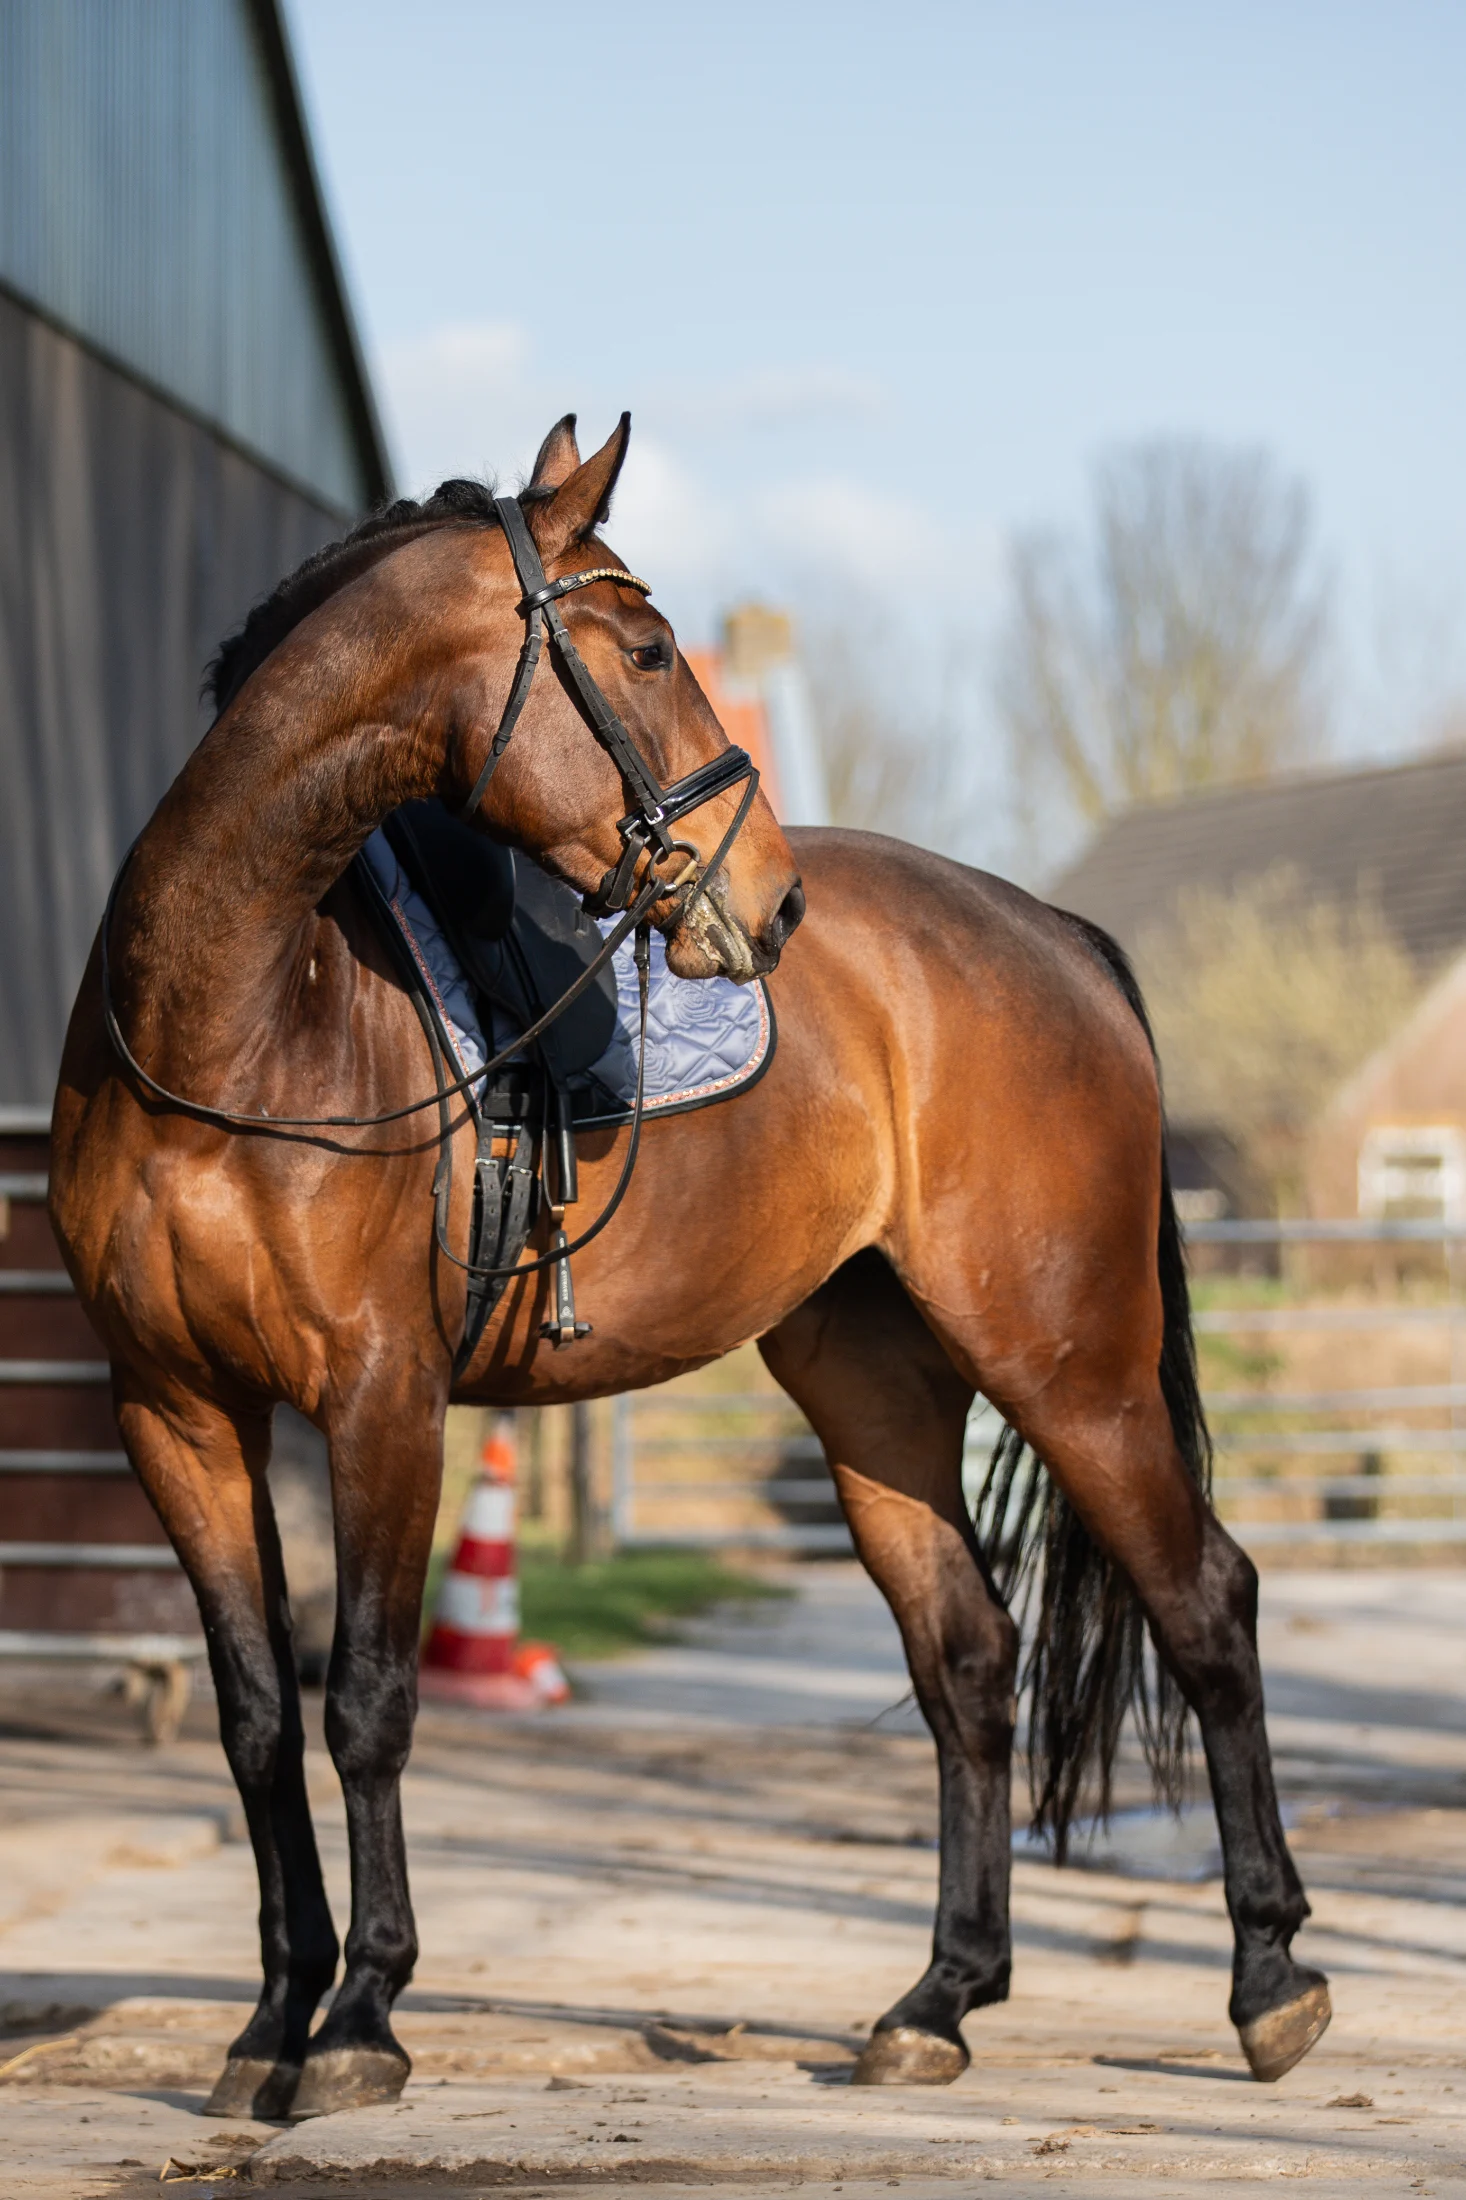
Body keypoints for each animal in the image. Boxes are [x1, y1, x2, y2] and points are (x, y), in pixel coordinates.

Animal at [49, 414, 1329, 2122]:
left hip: (1069, 1361)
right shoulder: (176, 1413)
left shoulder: (382, 1400)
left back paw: (1269, 1982)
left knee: (1204, 1606)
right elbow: (256, 1723)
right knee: (967, 1656)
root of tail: (1053, 934)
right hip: (873, 1389)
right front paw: (267, 2024)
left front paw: (362, 2020)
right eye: (648, 652)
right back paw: (938, 2000)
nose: (770, 899)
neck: (240, 1017)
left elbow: (367, 1703)